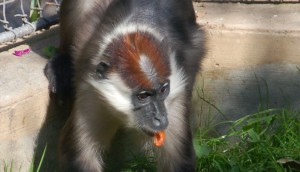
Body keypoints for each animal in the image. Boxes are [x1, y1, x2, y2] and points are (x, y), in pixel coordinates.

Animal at [44, 0, 205, 171]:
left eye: (163, 90)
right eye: (143, 96)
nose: (160, 118)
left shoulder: (175, 95)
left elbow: (177, 159)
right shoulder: (91, 90)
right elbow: (80, 156)